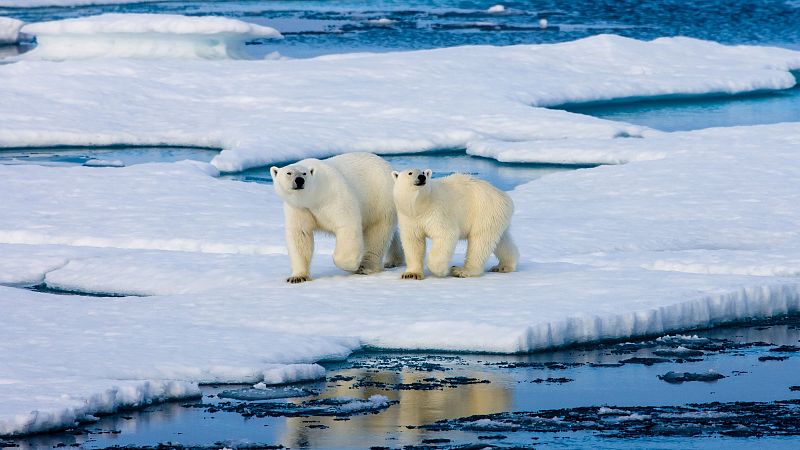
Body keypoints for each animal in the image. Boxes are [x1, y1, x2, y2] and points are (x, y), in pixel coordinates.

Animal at [272, 153, 404, 284]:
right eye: (288, 173)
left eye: (304, 173)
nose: (299, 180)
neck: (314, 197)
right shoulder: (299, 208)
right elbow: (300, 235)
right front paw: (297, 277)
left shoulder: (333, 196)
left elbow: (347, 225)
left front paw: (352, 265)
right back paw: (393, 260)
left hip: (379, 199)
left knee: (377, 233)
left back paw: (365, 267)